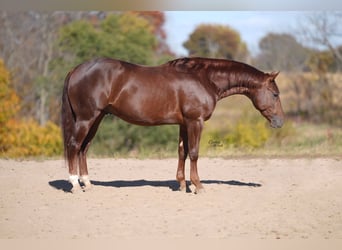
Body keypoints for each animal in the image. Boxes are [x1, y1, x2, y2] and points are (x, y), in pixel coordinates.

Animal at [60, 56, 284, 193]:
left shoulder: (184, 123)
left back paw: (87, 183)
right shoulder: (195, 121)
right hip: (87, 118)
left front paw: (183, 184)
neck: (203, 78)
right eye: (275, 94)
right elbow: (193, 152)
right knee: (74, 146)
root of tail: (76, 69)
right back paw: (74, 183)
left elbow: (182, 152)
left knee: (84, 148)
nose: (280, 121)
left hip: (97, 118)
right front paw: (198, 186)